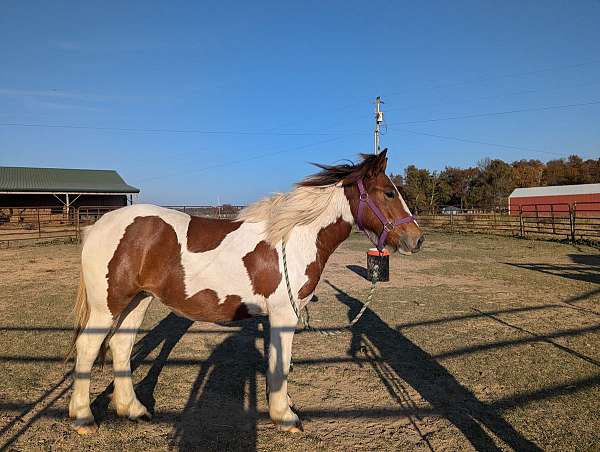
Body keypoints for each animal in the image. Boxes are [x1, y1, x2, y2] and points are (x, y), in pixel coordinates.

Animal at [68, 151, 424, 434]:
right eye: (388, 193)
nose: (416, 239)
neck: (294, 239)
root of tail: (97, 226)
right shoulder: (284, 314)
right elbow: (281, 363)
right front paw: (285, 417)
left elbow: (275, 360)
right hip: (107, 306)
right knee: (88, 348)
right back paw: (83, 418)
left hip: (138, 301)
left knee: (121, 346)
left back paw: (133, 409)